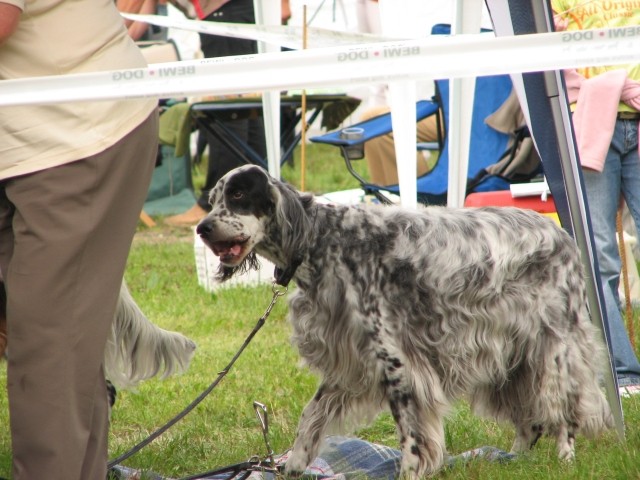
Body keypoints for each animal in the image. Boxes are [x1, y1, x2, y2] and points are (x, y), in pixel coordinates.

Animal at [196, 166, 616, 480]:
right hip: (510, 358)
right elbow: (310, 416)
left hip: (552, 349)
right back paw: (512, 460)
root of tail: (562, 234)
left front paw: (410, 472)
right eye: (212, 200)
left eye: (238, 196)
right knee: (529, 422)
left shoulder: (397, 363)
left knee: (562, 413)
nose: (202, 228)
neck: (322, 239)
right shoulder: (351, 359)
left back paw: (564, 459)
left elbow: (412, 438)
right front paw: (294, 466)